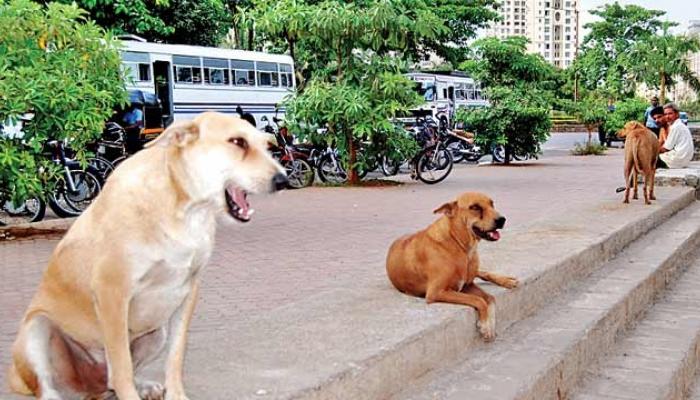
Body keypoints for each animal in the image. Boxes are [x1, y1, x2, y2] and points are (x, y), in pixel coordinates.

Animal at [8, 112, 288, 400]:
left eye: (267, 145)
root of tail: (90, 387)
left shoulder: (188, 292)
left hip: (156, 333)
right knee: (54, 385)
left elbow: (174, 357)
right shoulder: (112, 292)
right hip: (37, 328)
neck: (183, 208)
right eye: (237, 142)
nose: (283, 181)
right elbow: (121, 366)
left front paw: (176, 394)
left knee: (114, 377)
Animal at [386, 192, 516, 340]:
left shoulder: (467, 285)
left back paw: (507, 280)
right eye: (475, 207)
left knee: (482, 272)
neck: (460, 245)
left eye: (492, 204)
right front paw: (485, 326)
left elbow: (490, 299)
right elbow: (479, 300)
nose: (502, 220)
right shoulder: (437, 292)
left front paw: (489, 324)